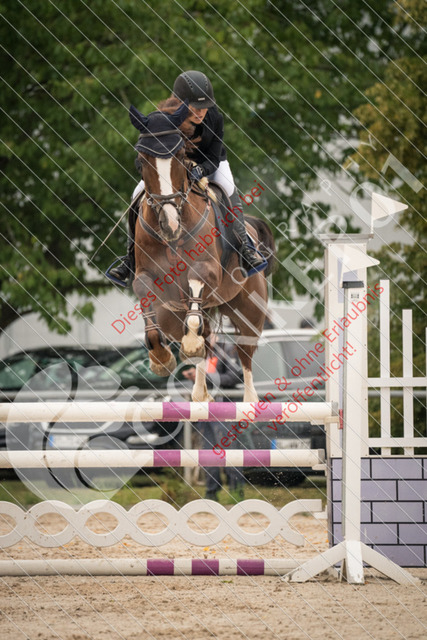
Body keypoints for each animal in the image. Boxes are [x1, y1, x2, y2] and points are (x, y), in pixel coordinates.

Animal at [128, 100, 275, 403]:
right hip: (178, 314)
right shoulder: (146, 275)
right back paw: (200, 394)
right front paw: (161, 360)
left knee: (244, 349)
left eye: (179, 157)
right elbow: (148, 306)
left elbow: (196, 279)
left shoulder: (207, 269)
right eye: (141, 160)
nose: (170, 224)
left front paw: (189, 346)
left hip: (249, 307)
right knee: (203, 337)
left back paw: (250, 401)